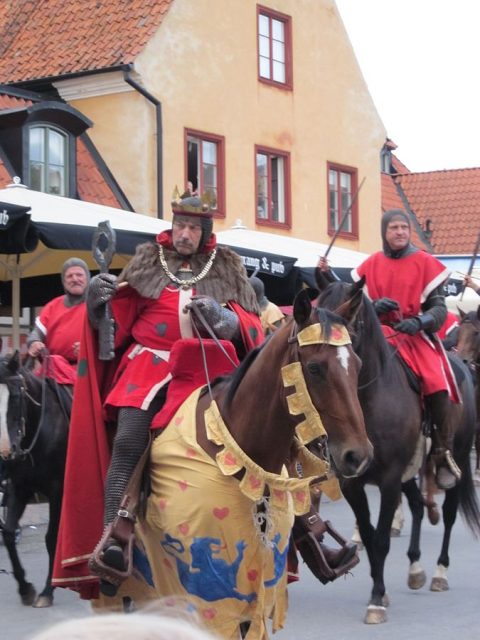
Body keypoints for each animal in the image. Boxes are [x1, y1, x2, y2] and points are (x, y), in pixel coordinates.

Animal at [0, 352, 70, 608]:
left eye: (16, 397)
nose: (6, 451)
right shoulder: (19, 488)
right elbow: (9, 533)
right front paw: (25, 588)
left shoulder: (58, 491)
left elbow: (52, 538)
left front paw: (48, 590)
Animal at [316, 276, 480, 624]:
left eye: (347, 318)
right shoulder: (353, 483)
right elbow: (367, 535)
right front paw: (381, 590)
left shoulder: (390, 479)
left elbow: (379, 539)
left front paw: (376, 600)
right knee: (418, 505)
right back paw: (415, 568)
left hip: (456, 457)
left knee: (448, 513)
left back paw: (439, 573)